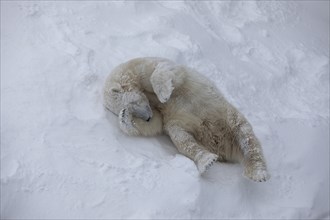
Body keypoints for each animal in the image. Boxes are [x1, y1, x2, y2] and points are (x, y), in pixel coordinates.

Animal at [104, 57, 270, 182]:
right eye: (132, 111)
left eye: (133, 104)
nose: (147, 117)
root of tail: (223, 147)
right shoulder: (159, 112)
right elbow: (156, 125)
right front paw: (125, 118)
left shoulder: (148, 66)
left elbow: (165, 73)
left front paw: (164, 94)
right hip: (185, 124)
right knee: (182, 138)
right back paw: (206, 161)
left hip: (225, 115)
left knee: (245, 135)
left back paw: (257, 172)